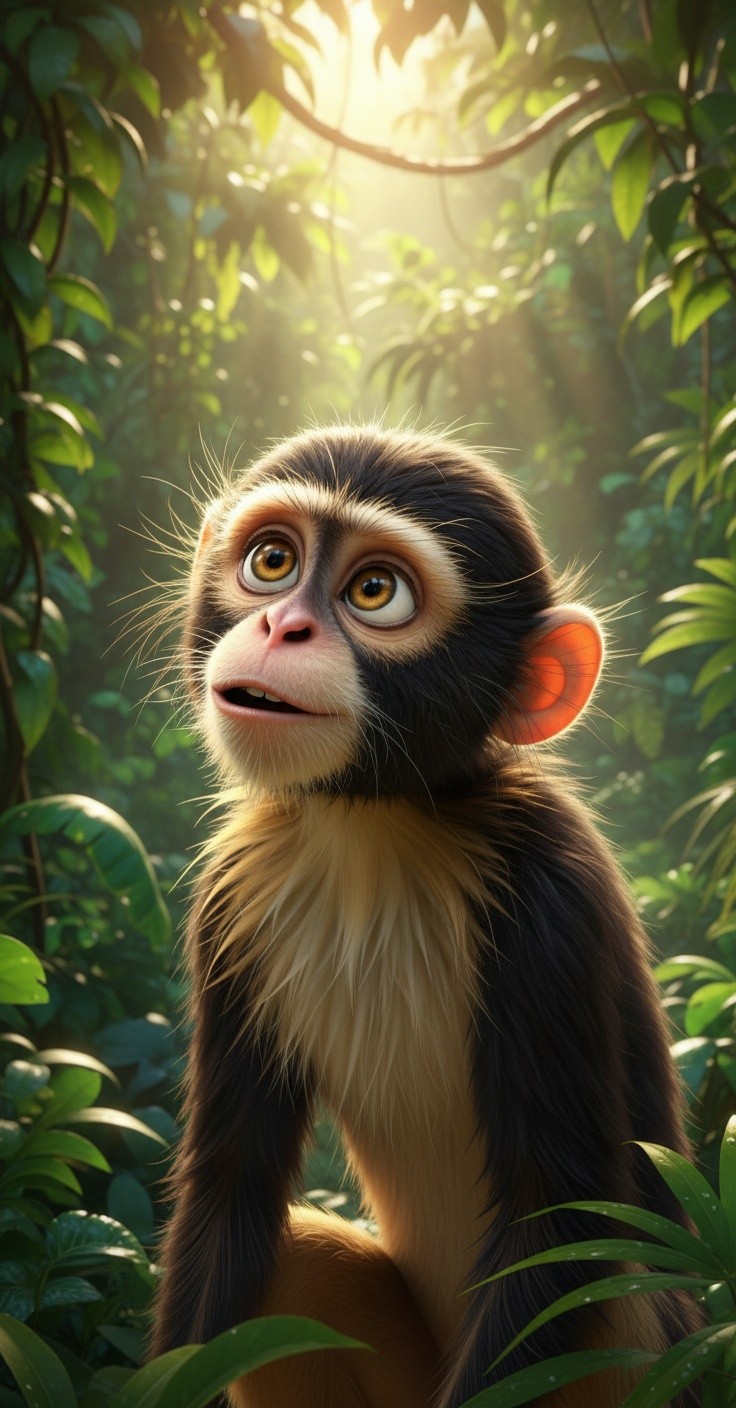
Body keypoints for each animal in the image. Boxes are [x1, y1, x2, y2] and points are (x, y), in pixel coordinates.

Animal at [150, 426, 702, 1408]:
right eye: (272, 561)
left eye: (376, 592)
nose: (281, 626)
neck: (377, 832)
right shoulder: (229, 899)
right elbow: (231, 1189)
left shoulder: (553, 899)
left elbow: (558, 1219)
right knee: (298, 1261)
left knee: (613, 1307)